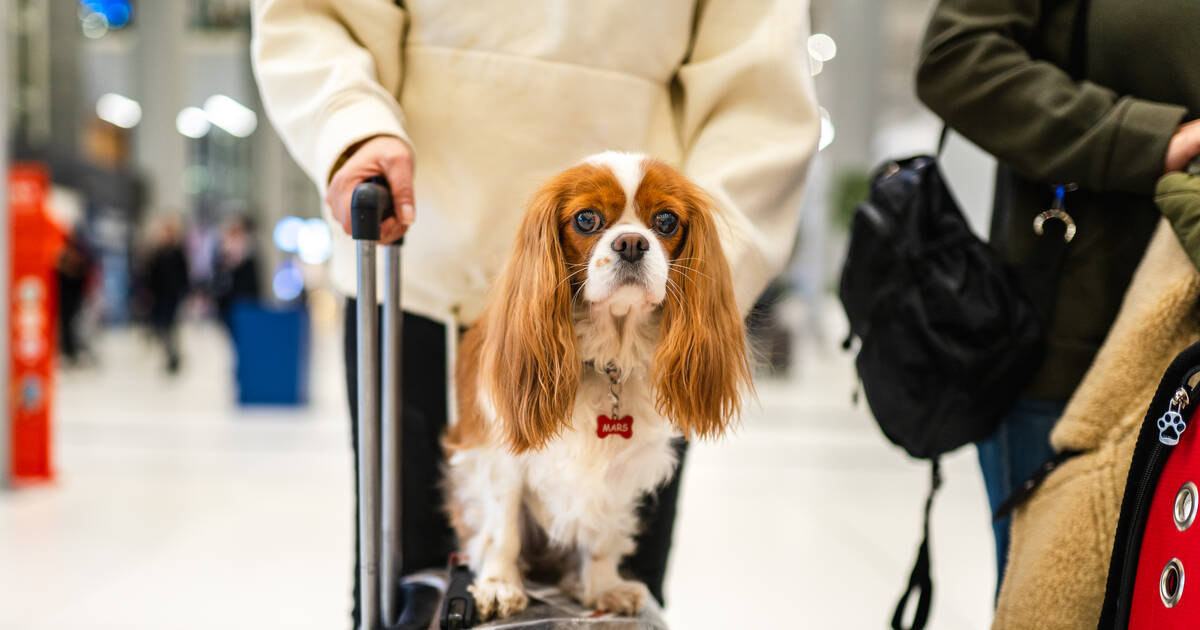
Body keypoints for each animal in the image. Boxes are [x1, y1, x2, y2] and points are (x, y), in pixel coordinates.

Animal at [441, 152, 748, 619]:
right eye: (586, 219)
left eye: (666, 221)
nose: (632, 243)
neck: (608, 358)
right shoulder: (498, 455)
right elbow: (502, 529)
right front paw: (498, 585)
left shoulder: (620, 466)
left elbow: (602, 532)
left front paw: (602, 587)